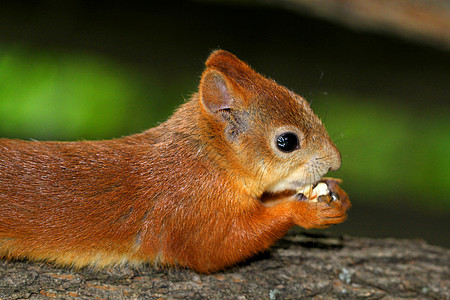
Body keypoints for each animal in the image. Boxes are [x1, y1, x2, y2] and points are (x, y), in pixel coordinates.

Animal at [0, 50, 350, 274]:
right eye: (287, 141)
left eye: (303, 102)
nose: (335, 161)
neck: (208, 161)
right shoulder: (190, 208)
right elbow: (217, 248)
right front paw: (305, 212)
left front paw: (334, 190)